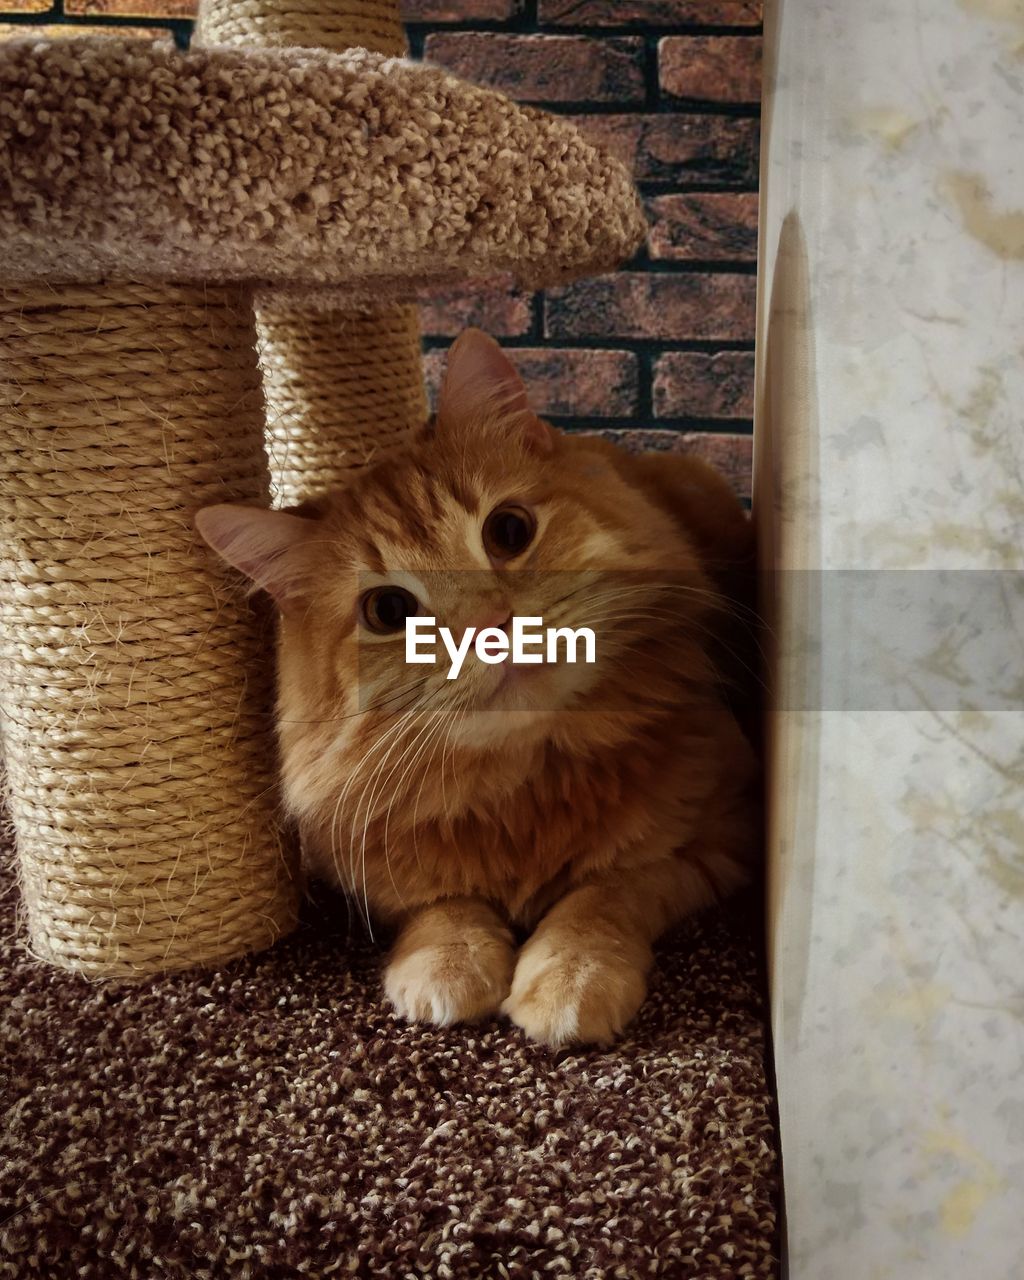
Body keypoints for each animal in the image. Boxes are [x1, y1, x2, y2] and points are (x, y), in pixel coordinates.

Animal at [199, 330, 757, 1049]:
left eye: (508, 531)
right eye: (386, 611)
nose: (491, 627)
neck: (526, 788)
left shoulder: (718, 835)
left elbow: (605, 894)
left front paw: (572, 976)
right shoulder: (368, 867)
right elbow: (443, 908)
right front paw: (448, 964)